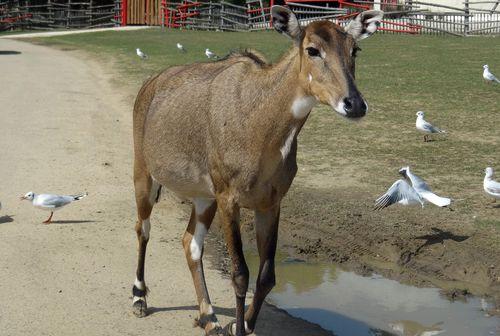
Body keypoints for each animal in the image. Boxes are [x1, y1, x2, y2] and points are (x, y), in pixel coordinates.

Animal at [132, 5, 382, 336]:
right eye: (312, 49)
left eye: (354, 49)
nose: (354, 104)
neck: (259, 123)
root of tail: (150, 83)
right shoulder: (229, 198)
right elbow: (240, 273)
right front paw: (238, 326)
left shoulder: (270, 203)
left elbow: (267, 276)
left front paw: (241, 324)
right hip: (144, 174)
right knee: (143, 228)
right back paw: (139, 298)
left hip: (203, 197)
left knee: (190, 243)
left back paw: (209, 317)